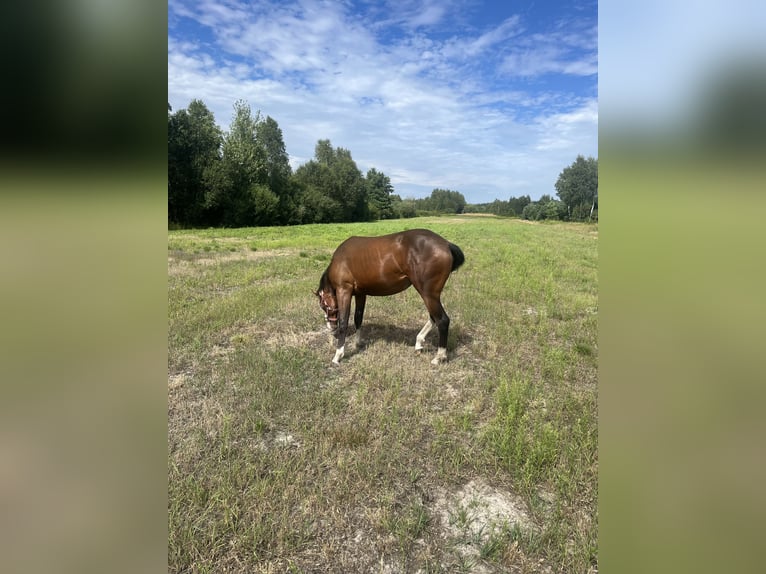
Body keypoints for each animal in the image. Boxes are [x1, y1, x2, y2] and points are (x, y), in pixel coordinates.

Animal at [314, 228, 465, 365]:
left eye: (323, 305)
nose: (330, 326)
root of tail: (445, 244)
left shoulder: (344, 290)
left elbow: (344, 322)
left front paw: (338, 355)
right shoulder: (361, 293)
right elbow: (358, 318)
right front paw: (358, 343)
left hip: (427, 294)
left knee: (442, 320)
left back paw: (439, 356)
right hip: (430, 295)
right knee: (434, 317)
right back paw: (419, 342)